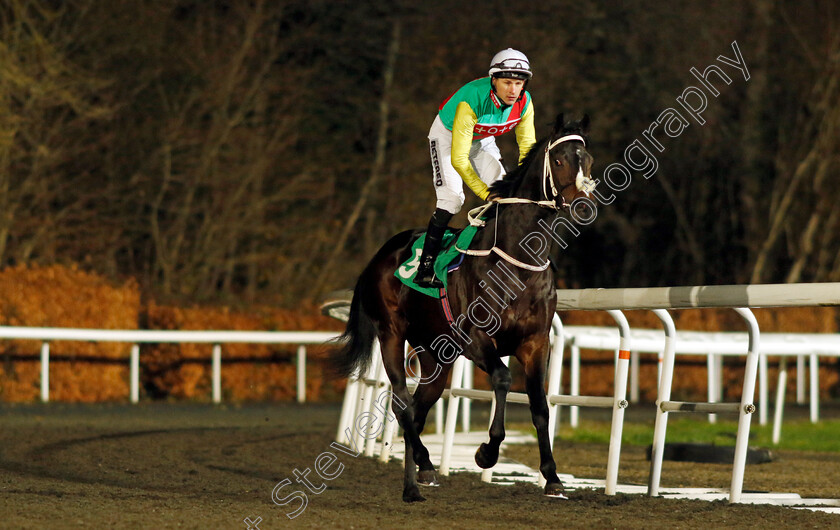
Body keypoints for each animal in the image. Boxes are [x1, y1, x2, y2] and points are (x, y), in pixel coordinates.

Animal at [332, 111, 592, 500]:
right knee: (401, 401)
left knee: (418, 405)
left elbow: (540, 405)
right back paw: (420, 472)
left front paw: (552, 476)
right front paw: (487, 452)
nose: (583, 203)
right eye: (559, 160)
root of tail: (379, 256)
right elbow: (502, 378)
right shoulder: (476, 339)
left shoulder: (535, 343)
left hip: (435, 353)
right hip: (391, 333)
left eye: (587, 160)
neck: (517, 261)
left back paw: (419, 471)